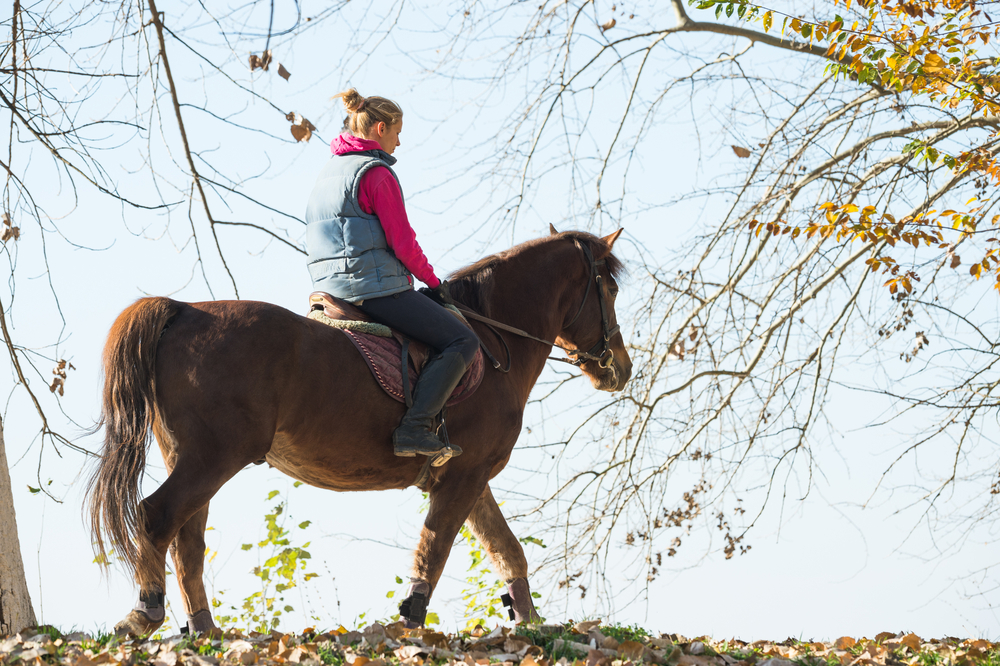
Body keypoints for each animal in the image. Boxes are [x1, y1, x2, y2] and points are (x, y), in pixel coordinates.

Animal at [87, 227, 632, 636]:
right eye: (610, 289)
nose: (620, 369)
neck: (494, 342)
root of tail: (182, 310)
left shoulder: (471, 479)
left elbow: (506, 552)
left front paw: (530, 622)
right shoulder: (464, 477)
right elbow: (435, 548)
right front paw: (410, 620)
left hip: (192, 458)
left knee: (188, 541)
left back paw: (204, 631)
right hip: (213, 458)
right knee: (156, 517)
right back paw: (145, 613)